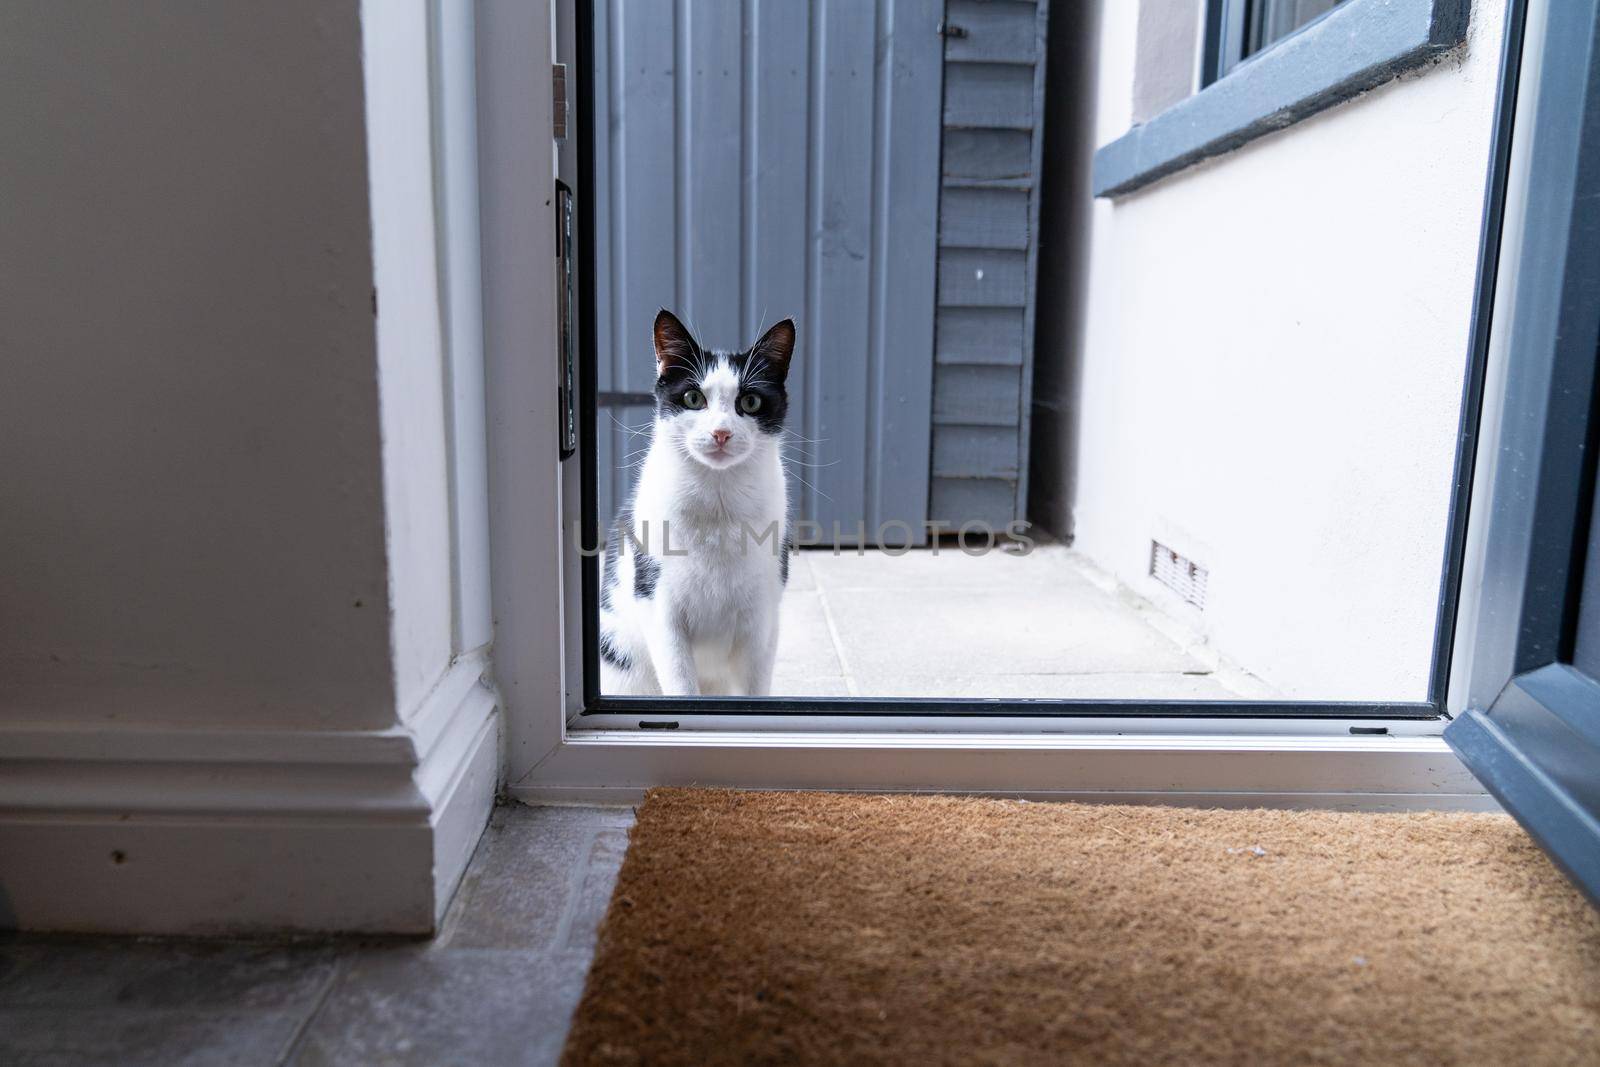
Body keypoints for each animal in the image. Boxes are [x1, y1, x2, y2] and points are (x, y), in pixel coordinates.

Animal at [598, 308, 796, 697]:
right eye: (693, 398)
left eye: (750, 402)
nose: (721, 433)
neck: (718, 504)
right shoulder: (658, 604)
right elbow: (680, 682)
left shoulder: (763, 615)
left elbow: (756, 686)